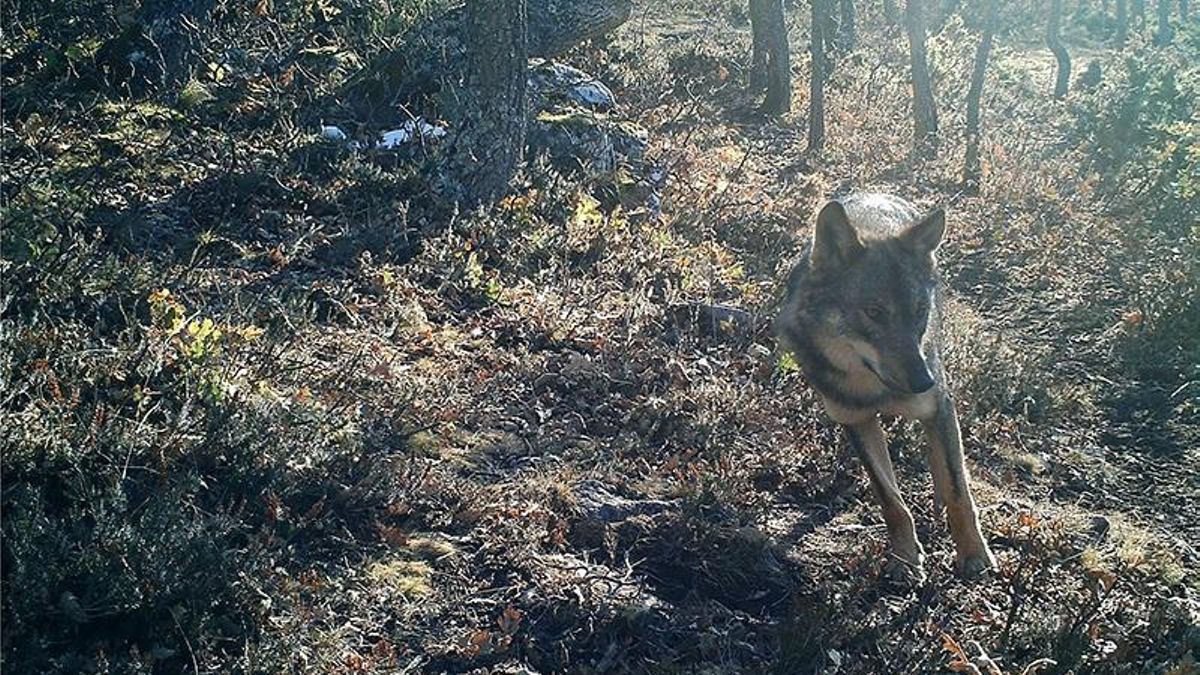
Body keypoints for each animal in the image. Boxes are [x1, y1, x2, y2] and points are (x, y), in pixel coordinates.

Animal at [777, 193, 996, 583]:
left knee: (945, 464)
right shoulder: (855, 421)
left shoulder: (938, 405)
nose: (924, 381)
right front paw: (906, 559)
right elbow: (891, 500)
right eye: (874, 312)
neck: (873, 389)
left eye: (920, 311)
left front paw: (973, 555)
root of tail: (880, 192)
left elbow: (958, 490)